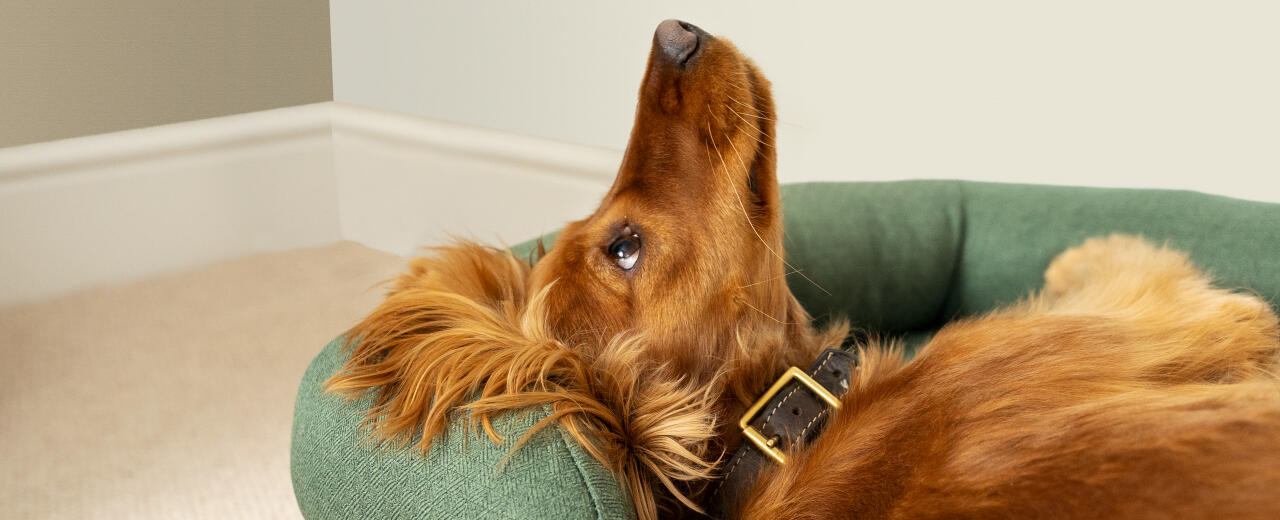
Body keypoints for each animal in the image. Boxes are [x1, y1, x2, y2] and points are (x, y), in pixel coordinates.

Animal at [327, 18, 1280, 517]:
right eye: (623, 247)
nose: (673, 31)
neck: (787, 427)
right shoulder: (1153, 316)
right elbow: (1155, 275)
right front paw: (1085, 247)